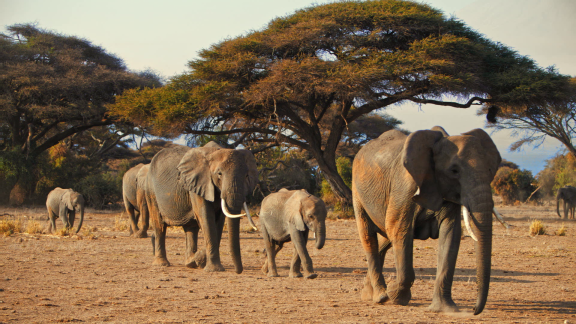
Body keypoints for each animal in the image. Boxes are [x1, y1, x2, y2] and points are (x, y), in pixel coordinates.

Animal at [348, 126, 502, 314]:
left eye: (490, 170)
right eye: (454, 170)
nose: (474, 310)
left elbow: (451, 235)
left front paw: (445, 309)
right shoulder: (404, 188)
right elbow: (400, 229)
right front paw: (396, 295)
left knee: (385, 238)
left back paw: (369, 294)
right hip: (357, 190)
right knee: (369, 236)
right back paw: (381, 296)